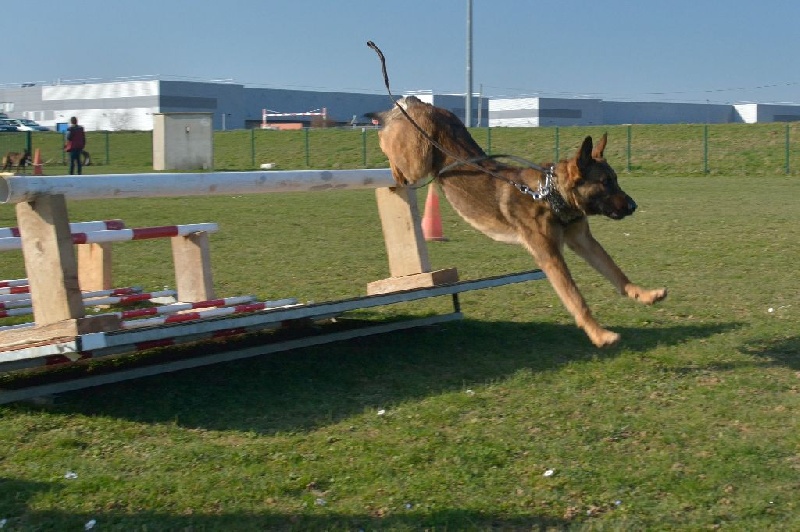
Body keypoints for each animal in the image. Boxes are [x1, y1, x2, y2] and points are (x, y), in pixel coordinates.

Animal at [369, 96, 667, 347]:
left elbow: (616, 272)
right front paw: (600, 334)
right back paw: (379, 132)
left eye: (615, 180)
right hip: (417, 165)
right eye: (605, 183)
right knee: (387, 142)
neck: (550, 195)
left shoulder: (584, 242)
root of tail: (420, 102)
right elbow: (576, 299)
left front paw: (644, 294)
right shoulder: (551, 257)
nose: (633, 206)